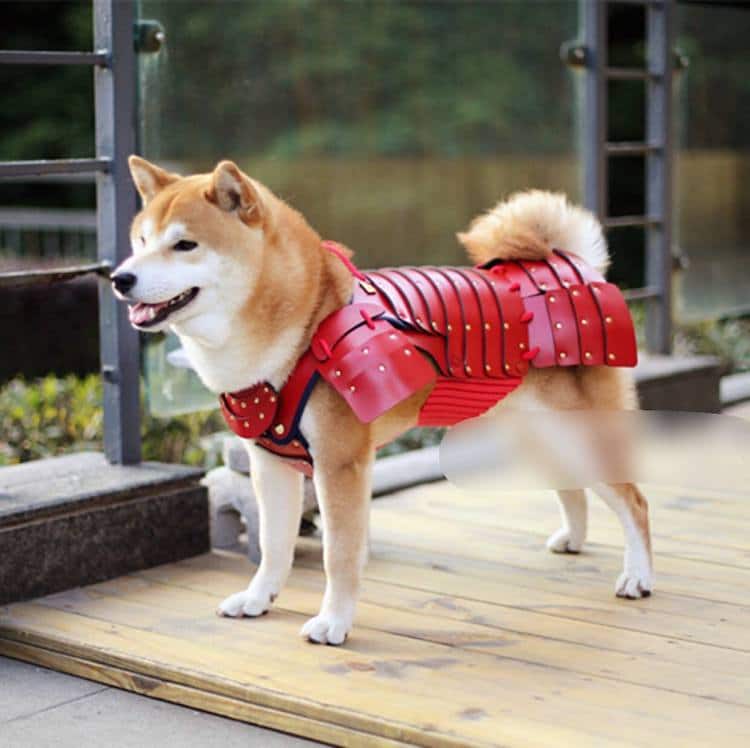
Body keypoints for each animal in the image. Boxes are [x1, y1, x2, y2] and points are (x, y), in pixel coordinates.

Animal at [111, 159, 652, 648]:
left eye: (184, 245)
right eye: (140, 242)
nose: (119, 279)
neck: (305, 322)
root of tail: (566, 261)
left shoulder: (339, 464)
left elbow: (338, 554)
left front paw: (332, 623)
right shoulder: (271, 464)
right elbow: (273, 544)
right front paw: (258, 599)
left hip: (577, 432)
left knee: (635, 502)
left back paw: (638, 577)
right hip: (536, 434)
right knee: (573, 489)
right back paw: (574, 539)